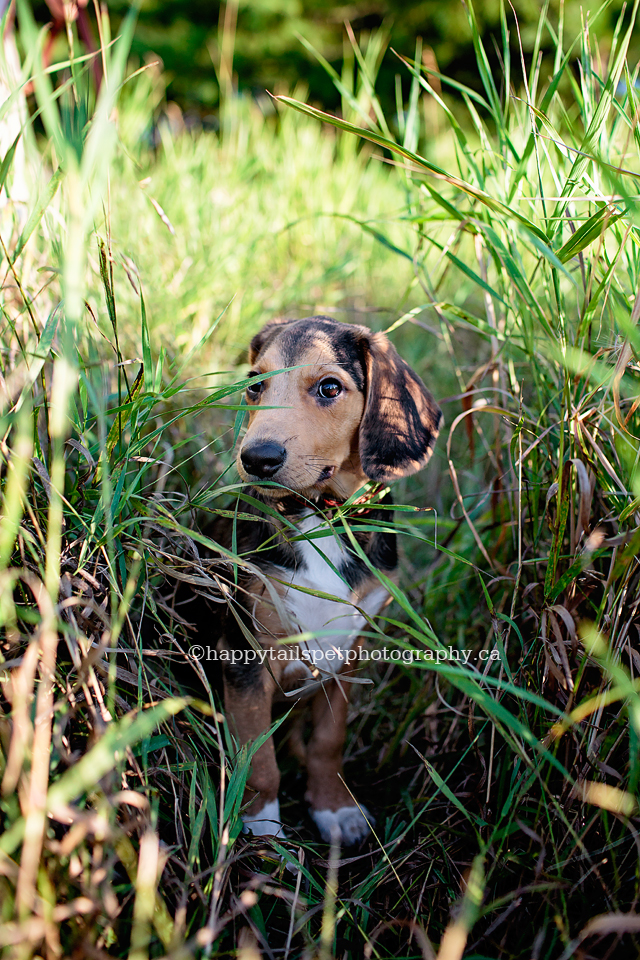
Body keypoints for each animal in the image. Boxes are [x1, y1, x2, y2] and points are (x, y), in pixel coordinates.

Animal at [212, 316, 442, 848]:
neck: (321, 517)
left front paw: (334, 807)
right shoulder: (244, 654)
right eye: (255, 384)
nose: (256, 459)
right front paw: (262, 828)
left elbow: (328, 741)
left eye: (329, 388)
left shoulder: (348, 649)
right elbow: (259, 758)